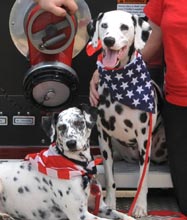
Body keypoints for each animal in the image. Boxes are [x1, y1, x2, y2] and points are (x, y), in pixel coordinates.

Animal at [0, 104, 135, 220]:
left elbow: (124, 216)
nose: (71, 143)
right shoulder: (81, 215)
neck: (79, 166)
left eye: (79, 123)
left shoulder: (101, 207)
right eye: (61, 127)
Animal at [86, 9, 167, 217]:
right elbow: (109, 178)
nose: (109, 40)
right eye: (104, 25)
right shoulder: (104, 138)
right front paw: (110, 204)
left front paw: (140, 207)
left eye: (124, 27)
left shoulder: (143, 140)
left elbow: (142, 180)